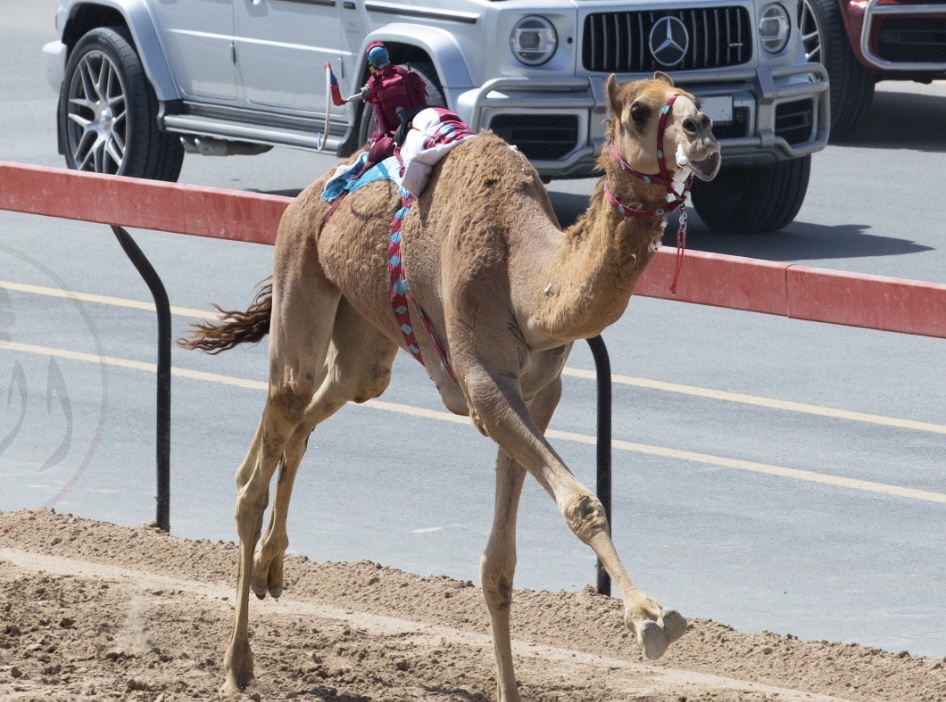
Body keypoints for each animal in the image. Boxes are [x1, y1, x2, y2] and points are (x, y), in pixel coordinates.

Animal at [183, 74, 716, 700]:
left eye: (695, 102)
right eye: (639, 111)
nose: (704, 132)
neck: (529, 281)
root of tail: (312, 190)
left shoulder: (540, 392)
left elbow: (498, 565)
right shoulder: (484, 384)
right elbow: (582, 503)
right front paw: (650, 619)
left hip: (365, 346)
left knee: (315, 411)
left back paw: (272, 565)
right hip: (299, 265)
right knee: (275, 430)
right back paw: (237, 662)